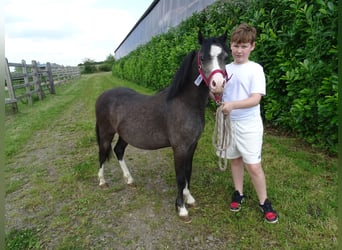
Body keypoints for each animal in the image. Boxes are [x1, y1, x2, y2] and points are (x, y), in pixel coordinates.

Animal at [95, 31, 230, 223]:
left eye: (225, 56)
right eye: (203, 57)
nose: (218, 84)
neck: (184, 103)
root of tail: (102, 96)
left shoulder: (191, 146)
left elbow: (188, 172)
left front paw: (189, 199)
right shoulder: (179, 148)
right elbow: (180, 177)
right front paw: (181, 209)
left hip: (125, 135)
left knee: (118, 150)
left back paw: (129, 179)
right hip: (106, 132)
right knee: (102, 153)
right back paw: (102, 182)